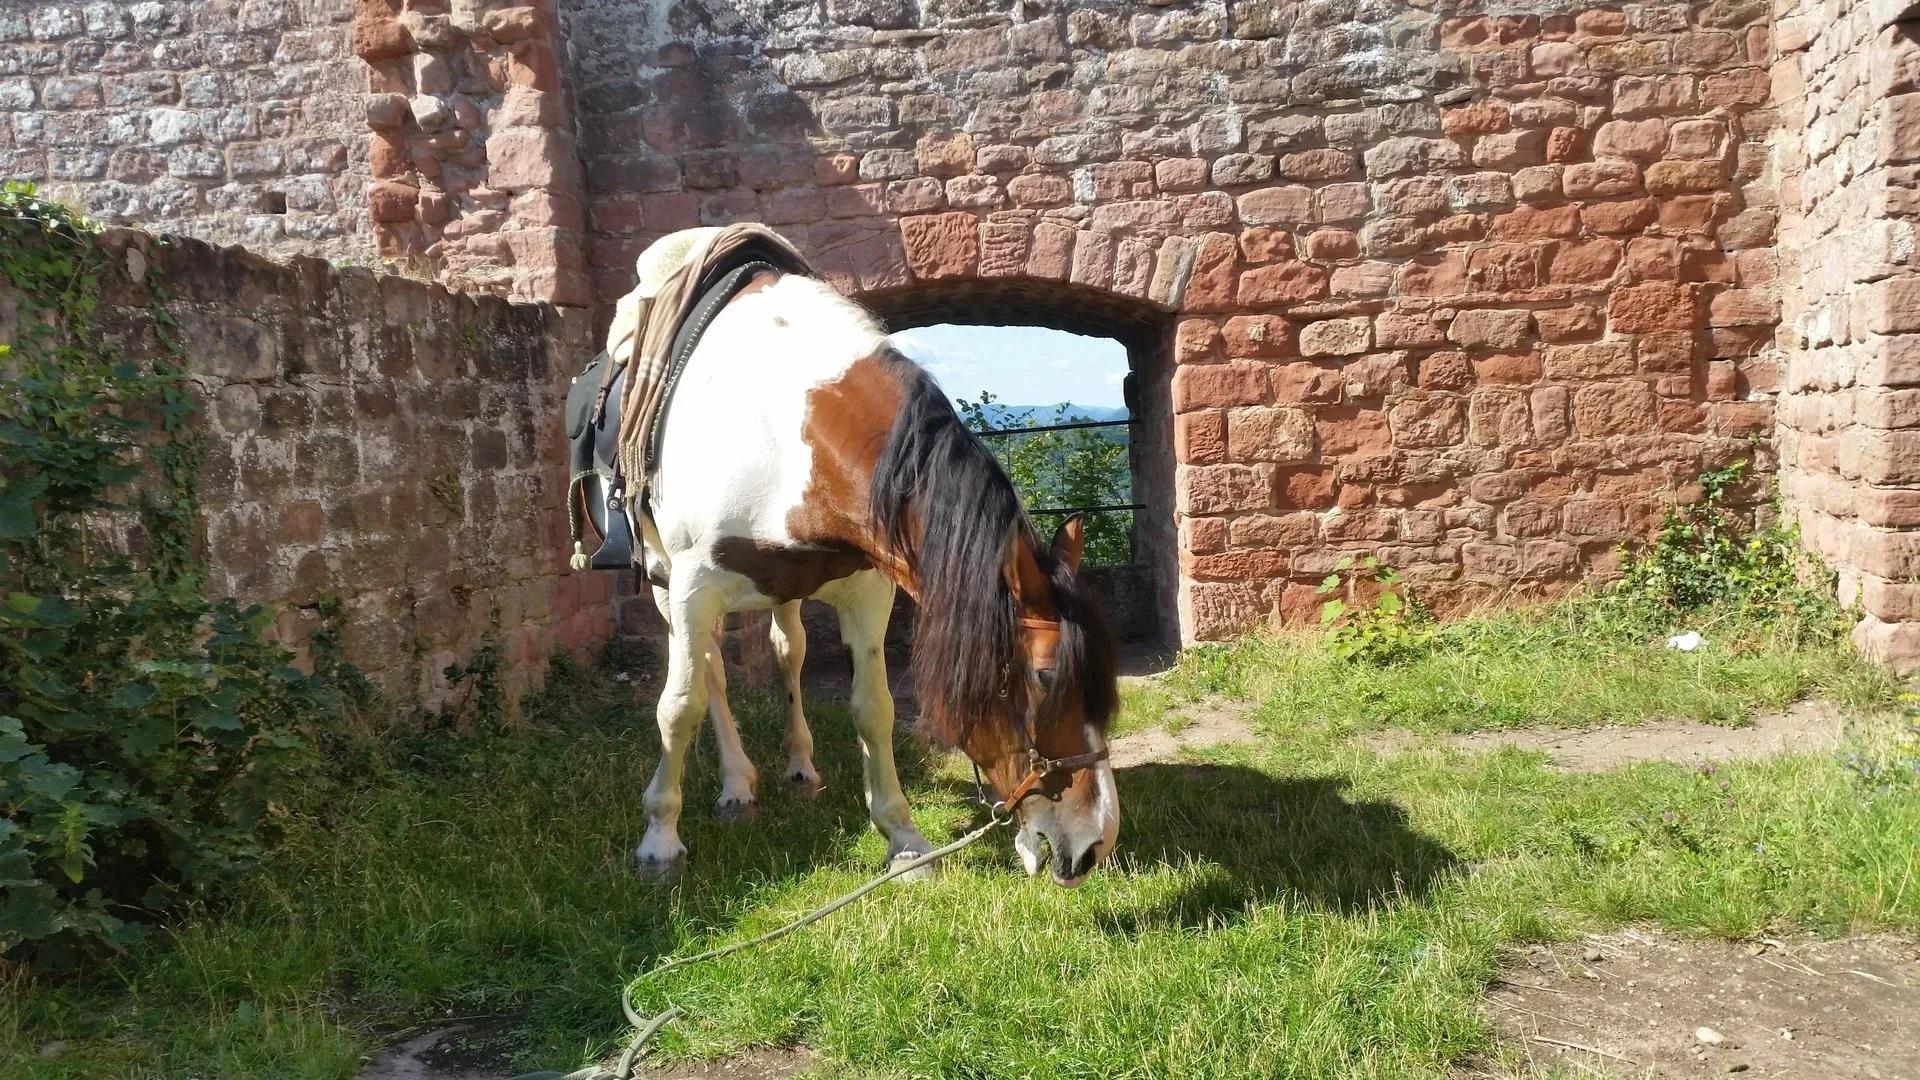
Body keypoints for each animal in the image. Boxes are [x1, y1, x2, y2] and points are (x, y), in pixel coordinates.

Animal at [606, 262, 1121, 887]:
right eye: (1044, 678)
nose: (1096, 842)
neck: (780, 430)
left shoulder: (868, 589)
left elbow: (875, 708)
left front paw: (903, 840)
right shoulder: (690, 590)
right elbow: (680, 708)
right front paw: (659, 838)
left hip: (780, 594)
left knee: (789, 653)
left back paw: (798, 765)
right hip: (667, 589)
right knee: (711, 676)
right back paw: (736, 784)